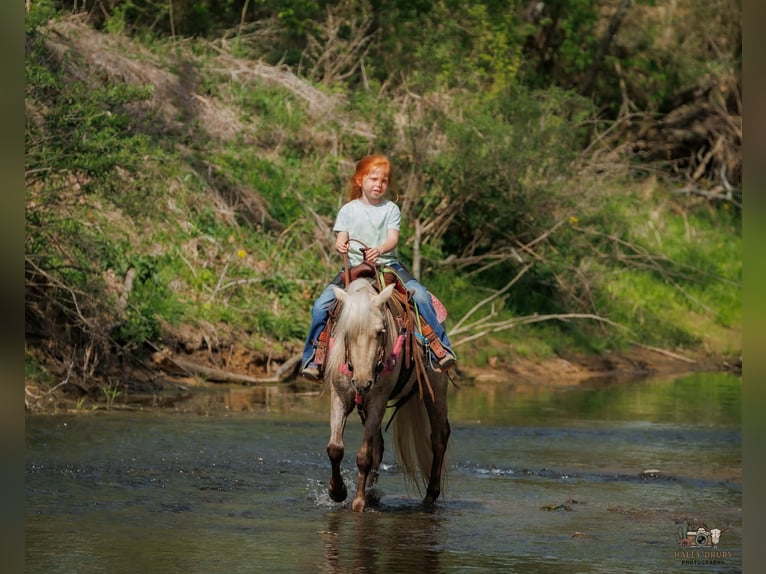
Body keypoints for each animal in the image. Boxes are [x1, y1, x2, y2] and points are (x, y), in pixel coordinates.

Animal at [323, 277, 451, 512]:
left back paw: (430, 496)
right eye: (347, 332)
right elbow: (335, 448)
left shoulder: (378, 400)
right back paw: (372, 490)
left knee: (439, 436)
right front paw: (337, 491)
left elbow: (364, 455)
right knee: (379, 445)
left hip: (436, 390)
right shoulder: (340, 396)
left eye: (380, 332)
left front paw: (358, 502)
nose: (363, 382)